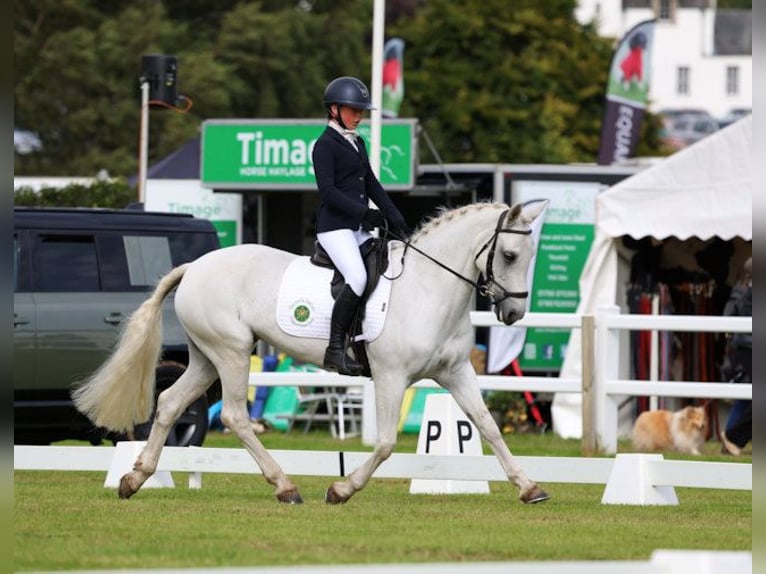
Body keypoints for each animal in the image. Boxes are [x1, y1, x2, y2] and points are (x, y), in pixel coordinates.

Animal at [73, 200, 552, 506]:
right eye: (510, 255)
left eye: (530, 256)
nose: (513, 313)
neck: (428, 289)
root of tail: (196, 266)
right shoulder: (391, 376)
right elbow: (385, 443)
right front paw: (340, 490)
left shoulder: (455, 372)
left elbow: (488, 426)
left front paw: (529, 487)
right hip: (231, 352)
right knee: (235, 416)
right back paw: (285, 486)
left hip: (207, 357)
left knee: (171, 403)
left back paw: (134, 478)